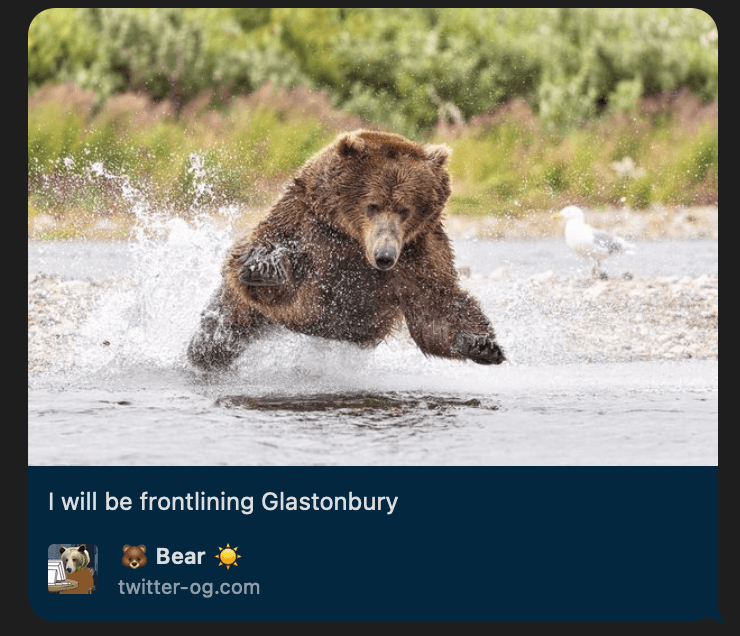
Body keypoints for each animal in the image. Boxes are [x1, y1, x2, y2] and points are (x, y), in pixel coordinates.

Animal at [187, 129, 505, 369]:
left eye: (404, 209)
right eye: (372, 205)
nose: (385, 256)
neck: (353, 239)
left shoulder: (419, 251)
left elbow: (435, 305)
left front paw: (480, 343)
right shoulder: (308, 227)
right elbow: (272, 268)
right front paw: (264, 267)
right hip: (240, 309)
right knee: (221, 327)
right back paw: (202, 355)